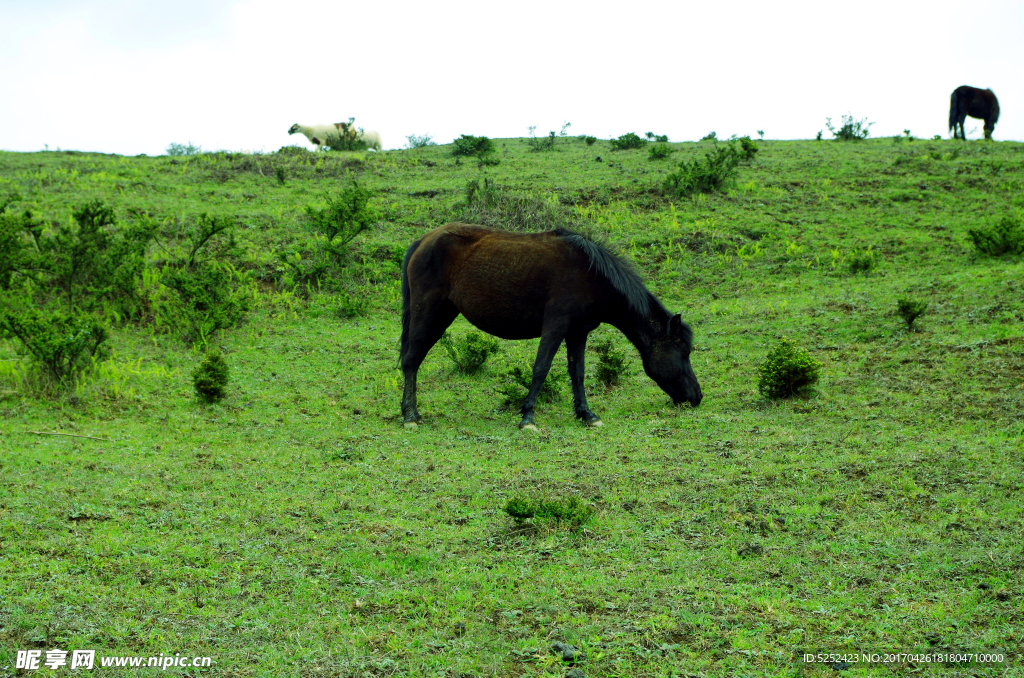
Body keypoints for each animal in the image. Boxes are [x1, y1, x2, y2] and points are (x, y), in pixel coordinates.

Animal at [399, 224, 704, 430]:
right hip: (427, 311)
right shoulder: (556, 327)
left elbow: (577, 373)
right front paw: (527, 418)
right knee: (411, 359)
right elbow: (541, 369)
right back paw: (410, 416)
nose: (697, 397)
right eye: (684, 351)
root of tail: (423, 240)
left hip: (442, 315)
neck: (591, 275)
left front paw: (587, 415)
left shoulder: (578, 332)